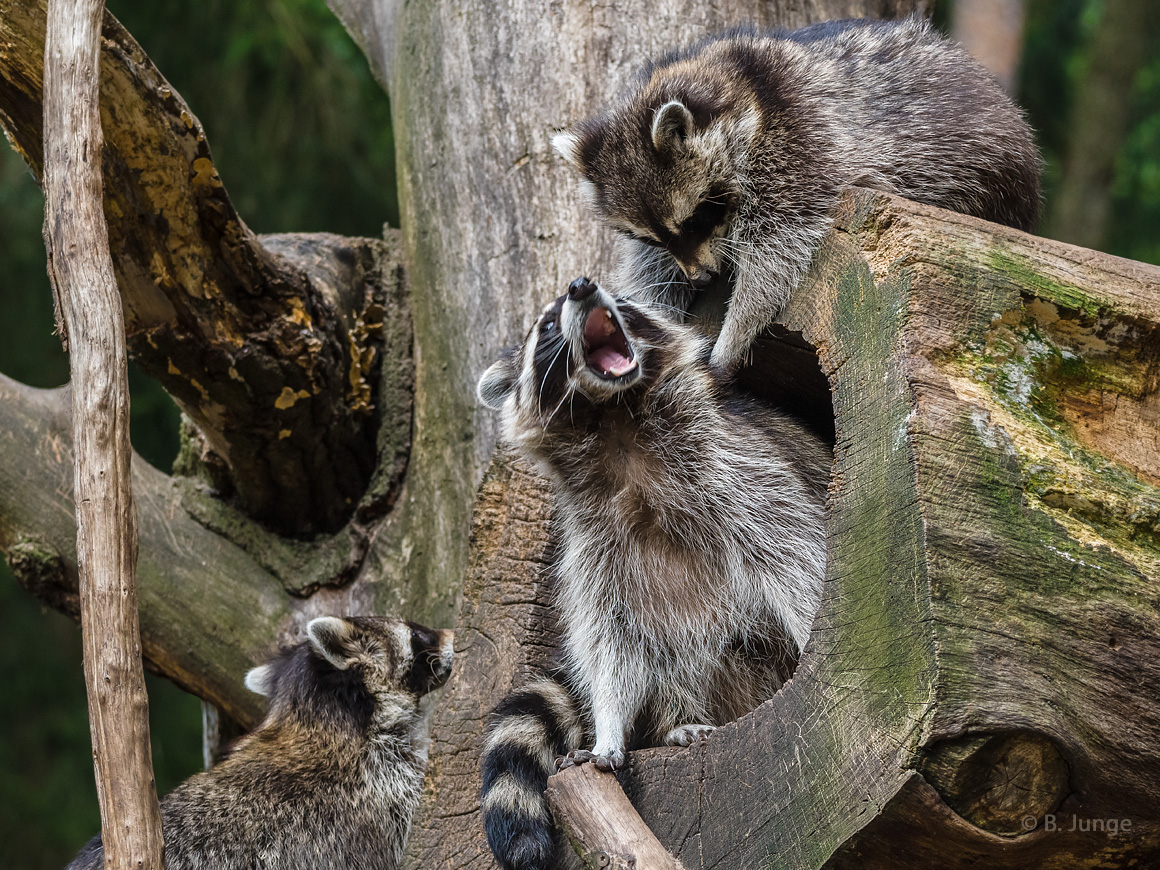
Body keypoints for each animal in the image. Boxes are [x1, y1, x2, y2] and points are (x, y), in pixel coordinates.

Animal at [475, 277, 830, 870]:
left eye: (619, 299)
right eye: (546, 325)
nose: (582, 285)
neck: (614, 419)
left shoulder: (738, 466)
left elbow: (795, 555)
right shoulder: (592, 540)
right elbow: (611, 634)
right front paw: (609, 727)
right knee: (681, 648)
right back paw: (676, 718)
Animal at [552, 14, 1044, 368]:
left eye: (697, 217)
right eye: (651, 237)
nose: (701, 278)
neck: (735, 86)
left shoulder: (801, 141)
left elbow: (778, 249)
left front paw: (735, 332)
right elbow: (653, 269)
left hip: (987, 163)